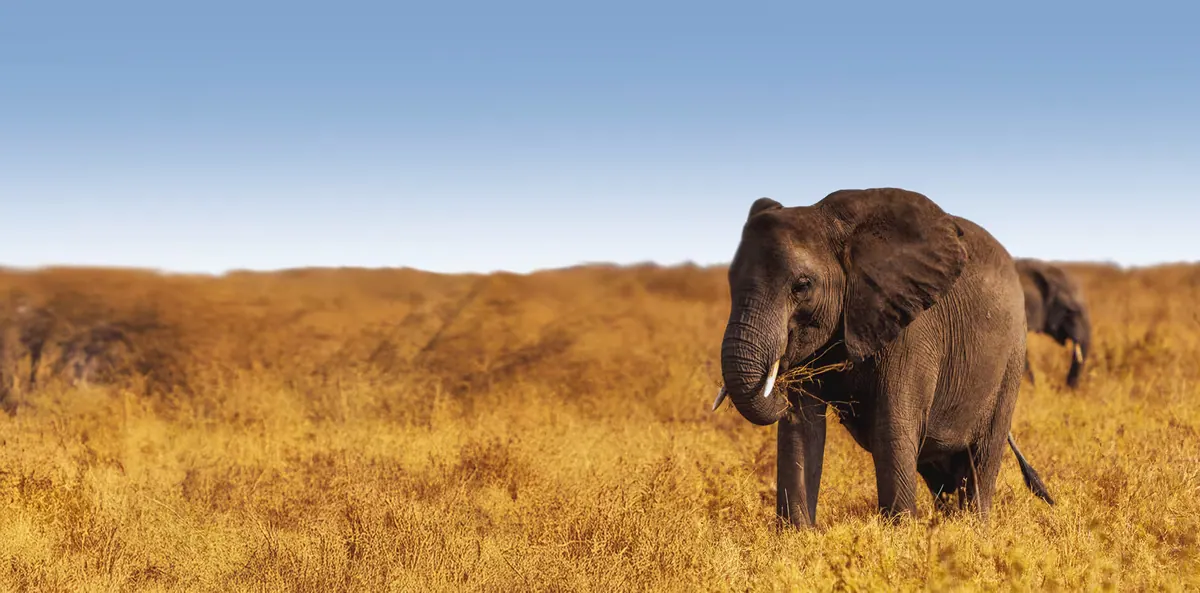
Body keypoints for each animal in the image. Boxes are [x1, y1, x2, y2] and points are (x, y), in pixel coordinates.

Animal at [710, 188, 1054, 528]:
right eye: (730, 280)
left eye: (802, 286)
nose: (778, 394)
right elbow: (802, 428)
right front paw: (798, 535)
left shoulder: (911, 326)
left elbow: (892, 425)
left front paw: (900, 532)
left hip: (1011, 358)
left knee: (982, 457)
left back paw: (972, 528)